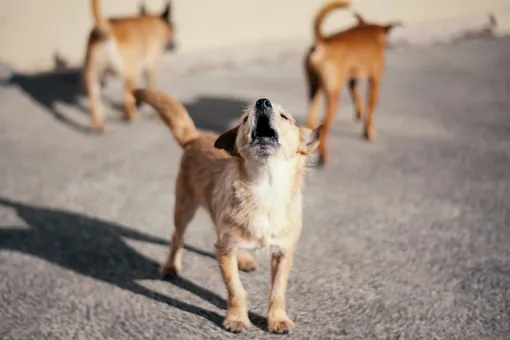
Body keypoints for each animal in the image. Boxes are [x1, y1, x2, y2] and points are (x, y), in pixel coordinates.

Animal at [81, 0, 173, 131]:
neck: (152, 20)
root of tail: (106, 30)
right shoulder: (150, 68)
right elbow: (151, 88)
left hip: (92, 78)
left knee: (94, 103)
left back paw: (97, 126)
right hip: (129, 76)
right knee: (127, 98)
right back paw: (131, 116)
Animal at [133, 88, 320, 334]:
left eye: (285, 117)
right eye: (244, 119)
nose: (262, 102)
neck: (265, 189)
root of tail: (195, 137)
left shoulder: (283, 252)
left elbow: (277, 291)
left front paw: (277, 319)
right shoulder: (225, 252)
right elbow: (235, 289)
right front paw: (237, 318)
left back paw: (244, 259)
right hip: (184, 207)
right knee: (177, 237)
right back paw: (171, 266)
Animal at [304, 0, 400, 165]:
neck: (370, 31)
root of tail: (322, 41)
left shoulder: (352, 80)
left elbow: (357, 97)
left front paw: (359, 114)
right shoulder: (375, 81)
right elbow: (371, 107)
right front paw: (369, 133)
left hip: (315, 90)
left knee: (311, 120)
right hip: (333, 96)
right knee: (324, 129)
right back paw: (324, 157)